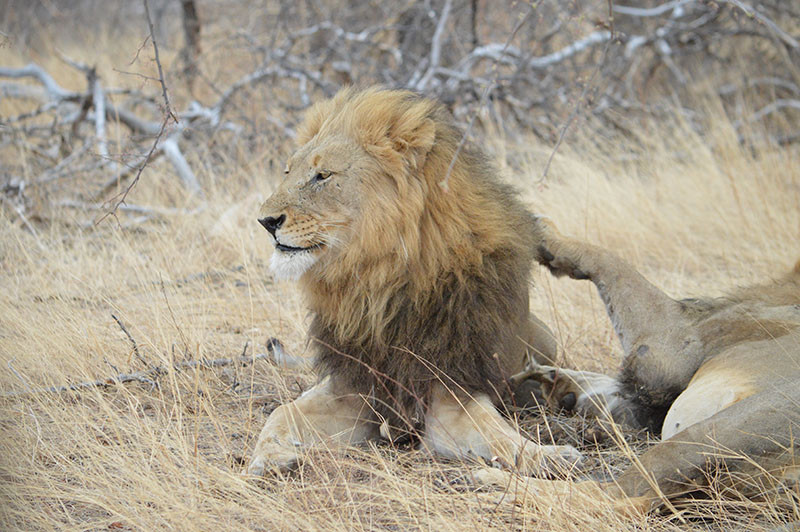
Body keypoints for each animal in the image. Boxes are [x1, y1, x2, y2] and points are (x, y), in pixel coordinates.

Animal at [247, 88, 580, 478]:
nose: (265, 221)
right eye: (288, 171)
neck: (377, 281)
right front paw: (269, 456)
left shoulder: (451, 392)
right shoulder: (353, 388)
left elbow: (497, 433)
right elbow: (282, 412)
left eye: (323, 175)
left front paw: (548, 455)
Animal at [488, 218, 800, 512]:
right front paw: (559, 386)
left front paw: (544, 232)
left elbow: (611, 262)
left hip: (722, 429)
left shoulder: (668, 348)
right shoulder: (646, 405)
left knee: (609, 495)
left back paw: (495, 486)